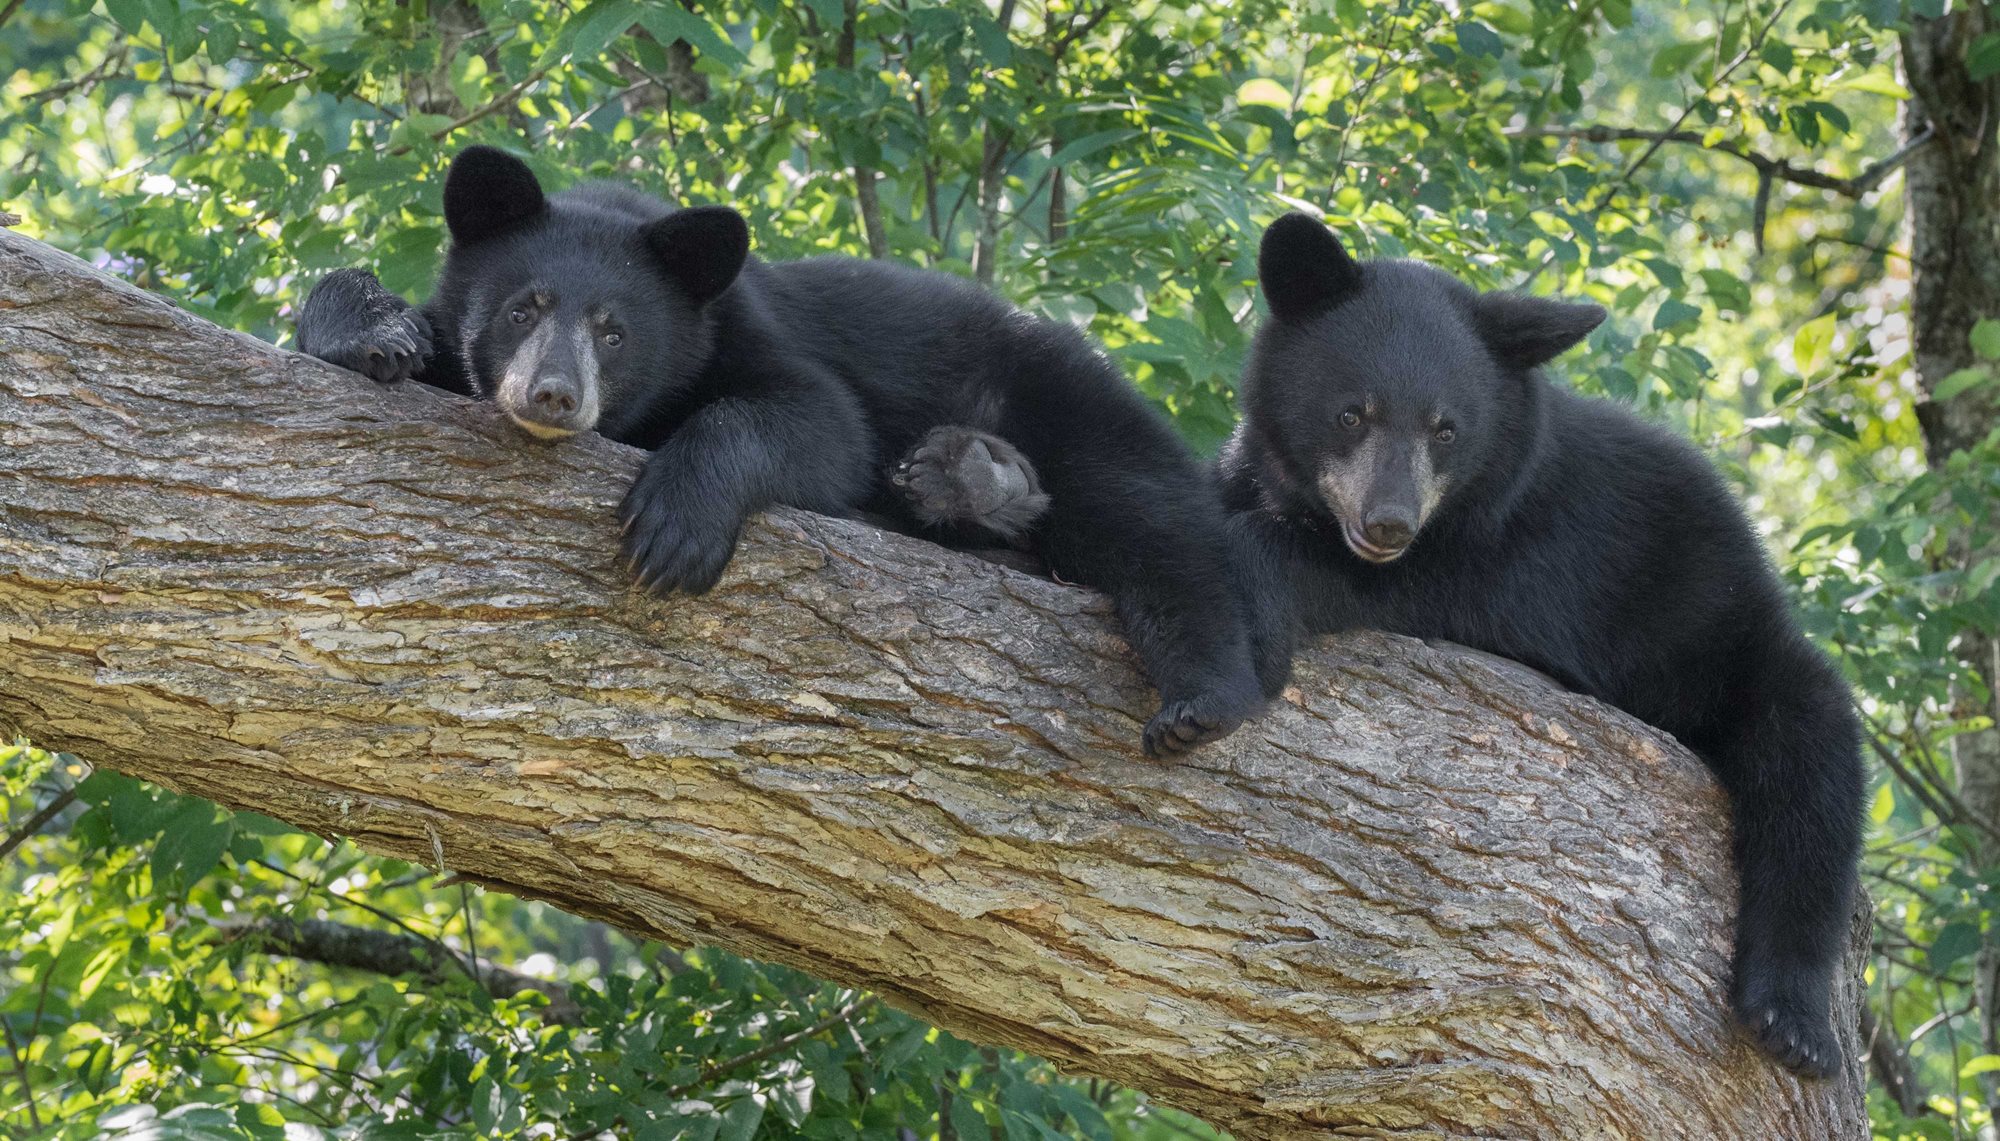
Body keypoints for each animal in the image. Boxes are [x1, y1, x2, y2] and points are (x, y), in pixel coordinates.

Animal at [296, 146, 1264, 756]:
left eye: (615, 330)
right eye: (521, 307)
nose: (553, 396)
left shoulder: (748, 330)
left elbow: (823, 421)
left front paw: (672, 532)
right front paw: (372, 332)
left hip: (1068, 399)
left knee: (1153, 525)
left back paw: (1200, 698)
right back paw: (973, 485)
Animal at [1216, 213, 1872, 1072]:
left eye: (1447, 428)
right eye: (1351, 412)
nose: (1388, 521)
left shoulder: (1511, 562)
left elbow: (1371, 579)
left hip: (1736, 650)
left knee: (1812, 773)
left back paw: (1789, 1015)